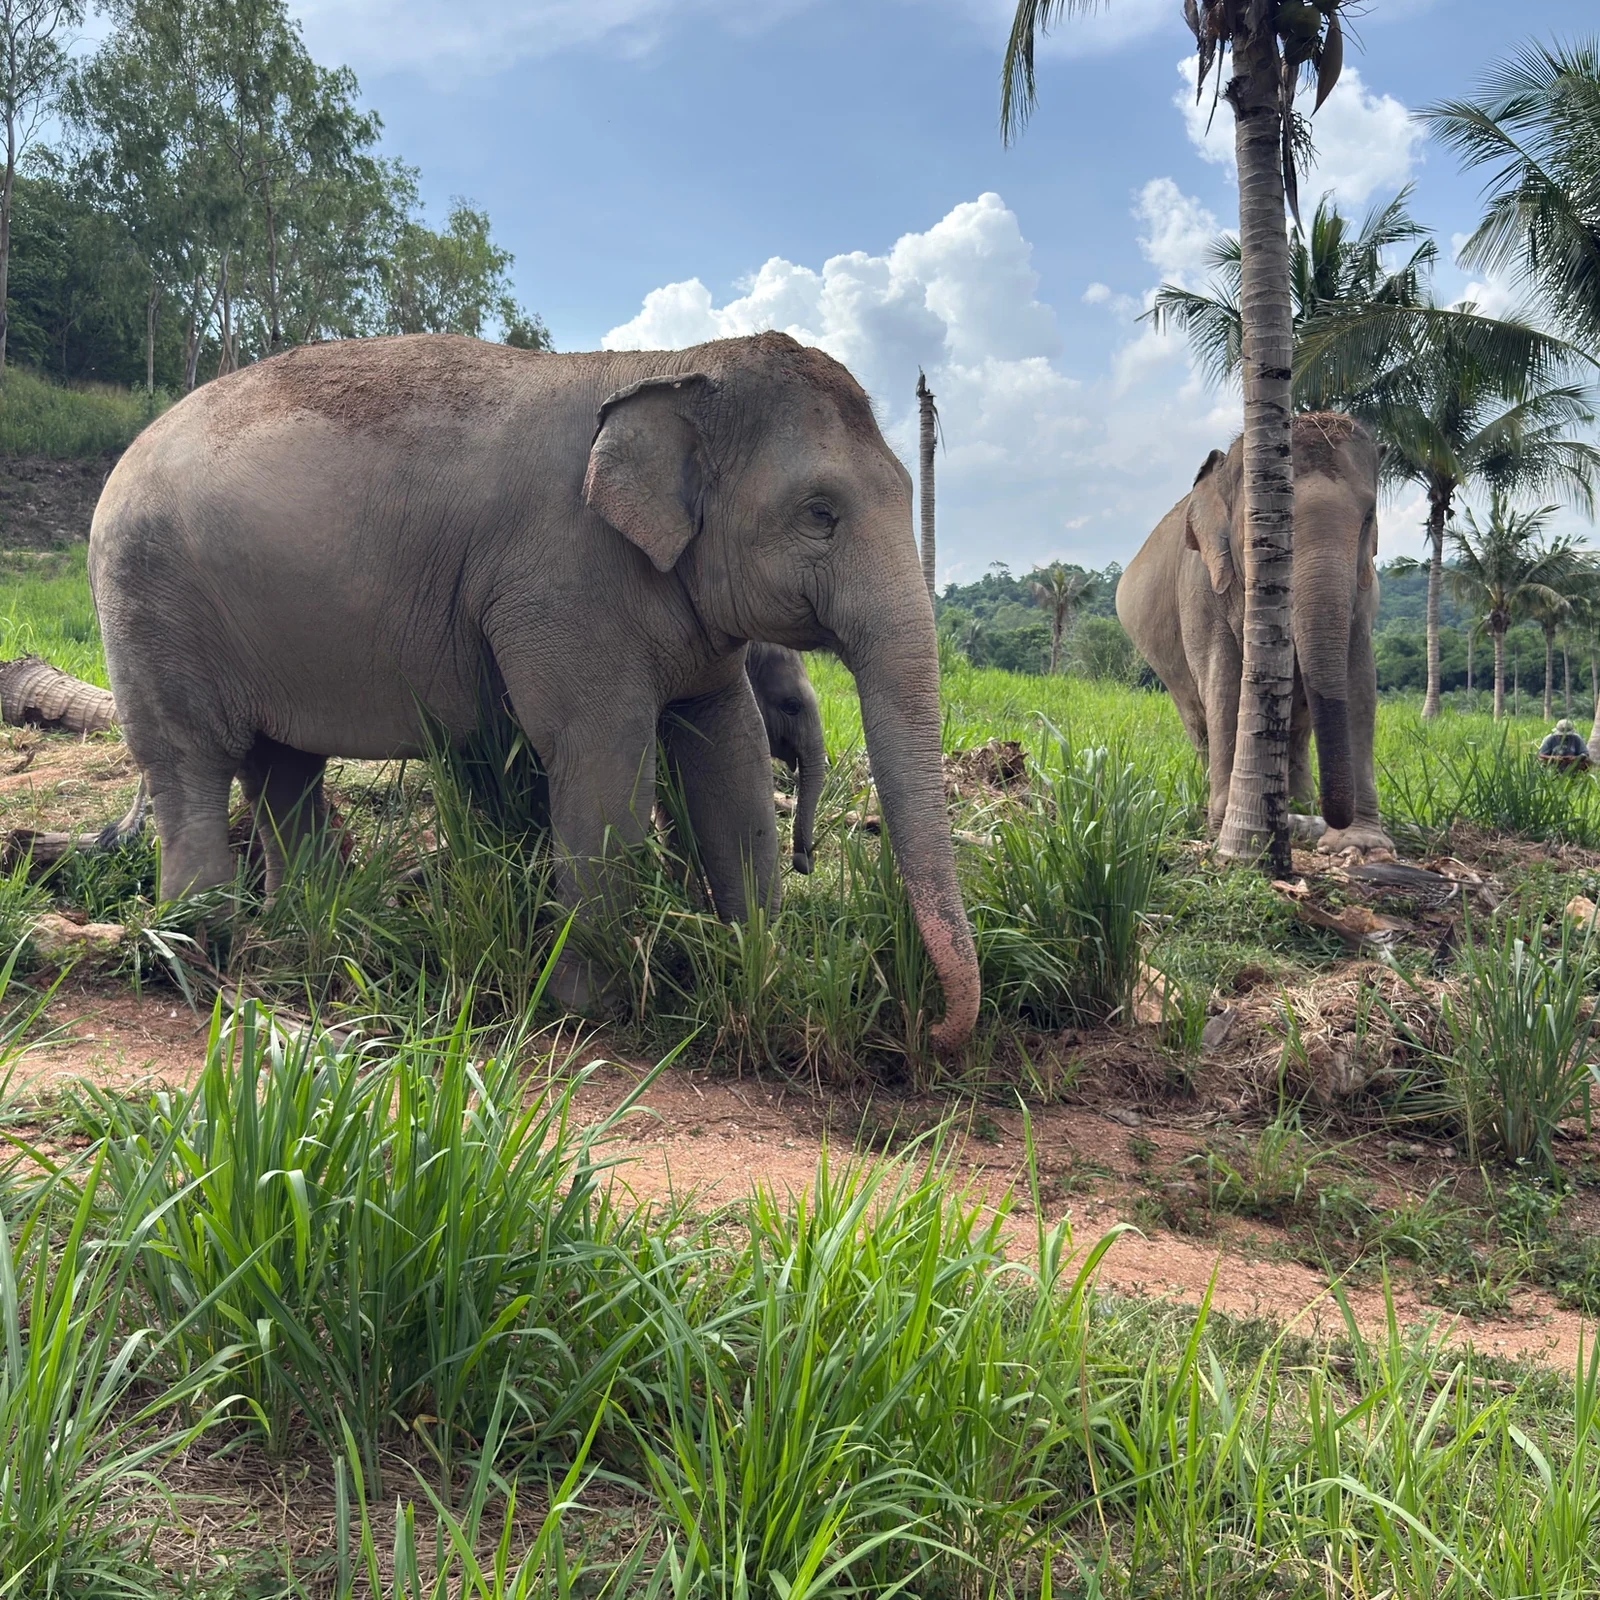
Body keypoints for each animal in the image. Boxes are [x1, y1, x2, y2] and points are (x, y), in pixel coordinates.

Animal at [1116, 413, 1393, 854]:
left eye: (1369, 517)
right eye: (1264, 523)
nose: (1329, 818)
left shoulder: (1364, 590)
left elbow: (1360, 681)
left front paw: (1361, 844)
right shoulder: (1202, 584)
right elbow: (1224, 679)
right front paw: (1227, 825)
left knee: (1297, 725)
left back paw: (1297, 802)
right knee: (1198, 719)